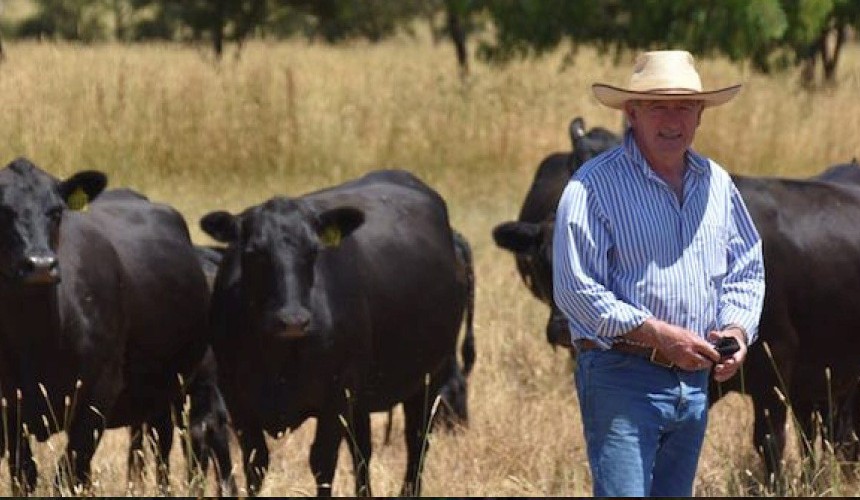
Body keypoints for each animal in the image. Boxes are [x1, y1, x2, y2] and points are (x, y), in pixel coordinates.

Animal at [0, 157, 218, 495]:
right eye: (2, 210)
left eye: (56, 211)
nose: (40, 265)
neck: (37, 339)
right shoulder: (11, 408)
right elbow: (25, 475)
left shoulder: (98, 396)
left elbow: (67, 475)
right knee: (160, 441)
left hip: (194, 388)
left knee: (191, 444)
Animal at [199, 169, 467, 496]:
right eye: (253, 253)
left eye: (314, 251)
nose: (293, 320)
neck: (278, 358)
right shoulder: (237, 400)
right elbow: (255, 464)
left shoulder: (336, 396)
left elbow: (322, 462)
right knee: (362, 451)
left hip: (430, 376)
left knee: (416, 443)